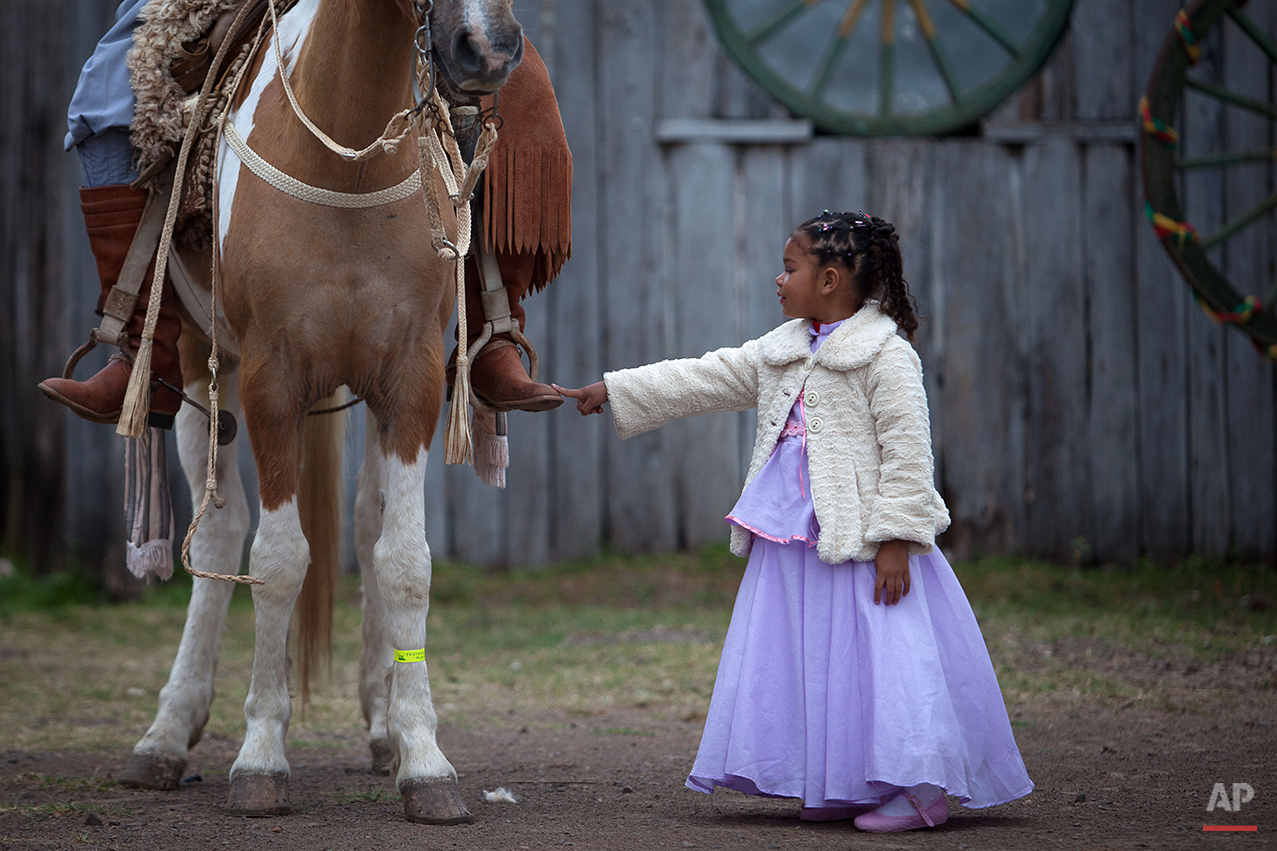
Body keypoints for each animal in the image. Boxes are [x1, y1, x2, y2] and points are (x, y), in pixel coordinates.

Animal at [116, 0, 523, 822]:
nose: (489, 49)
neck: (347, 158)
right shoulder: (271, 379)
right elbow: (277, 560)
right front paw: (260, 756)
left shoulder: (410, 378)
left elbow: (404, 562)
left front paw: (423, 758)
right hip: (200, 366)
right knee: (220, 539)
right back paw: (166, 735)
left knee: (366, 525)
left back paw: (383, 725)